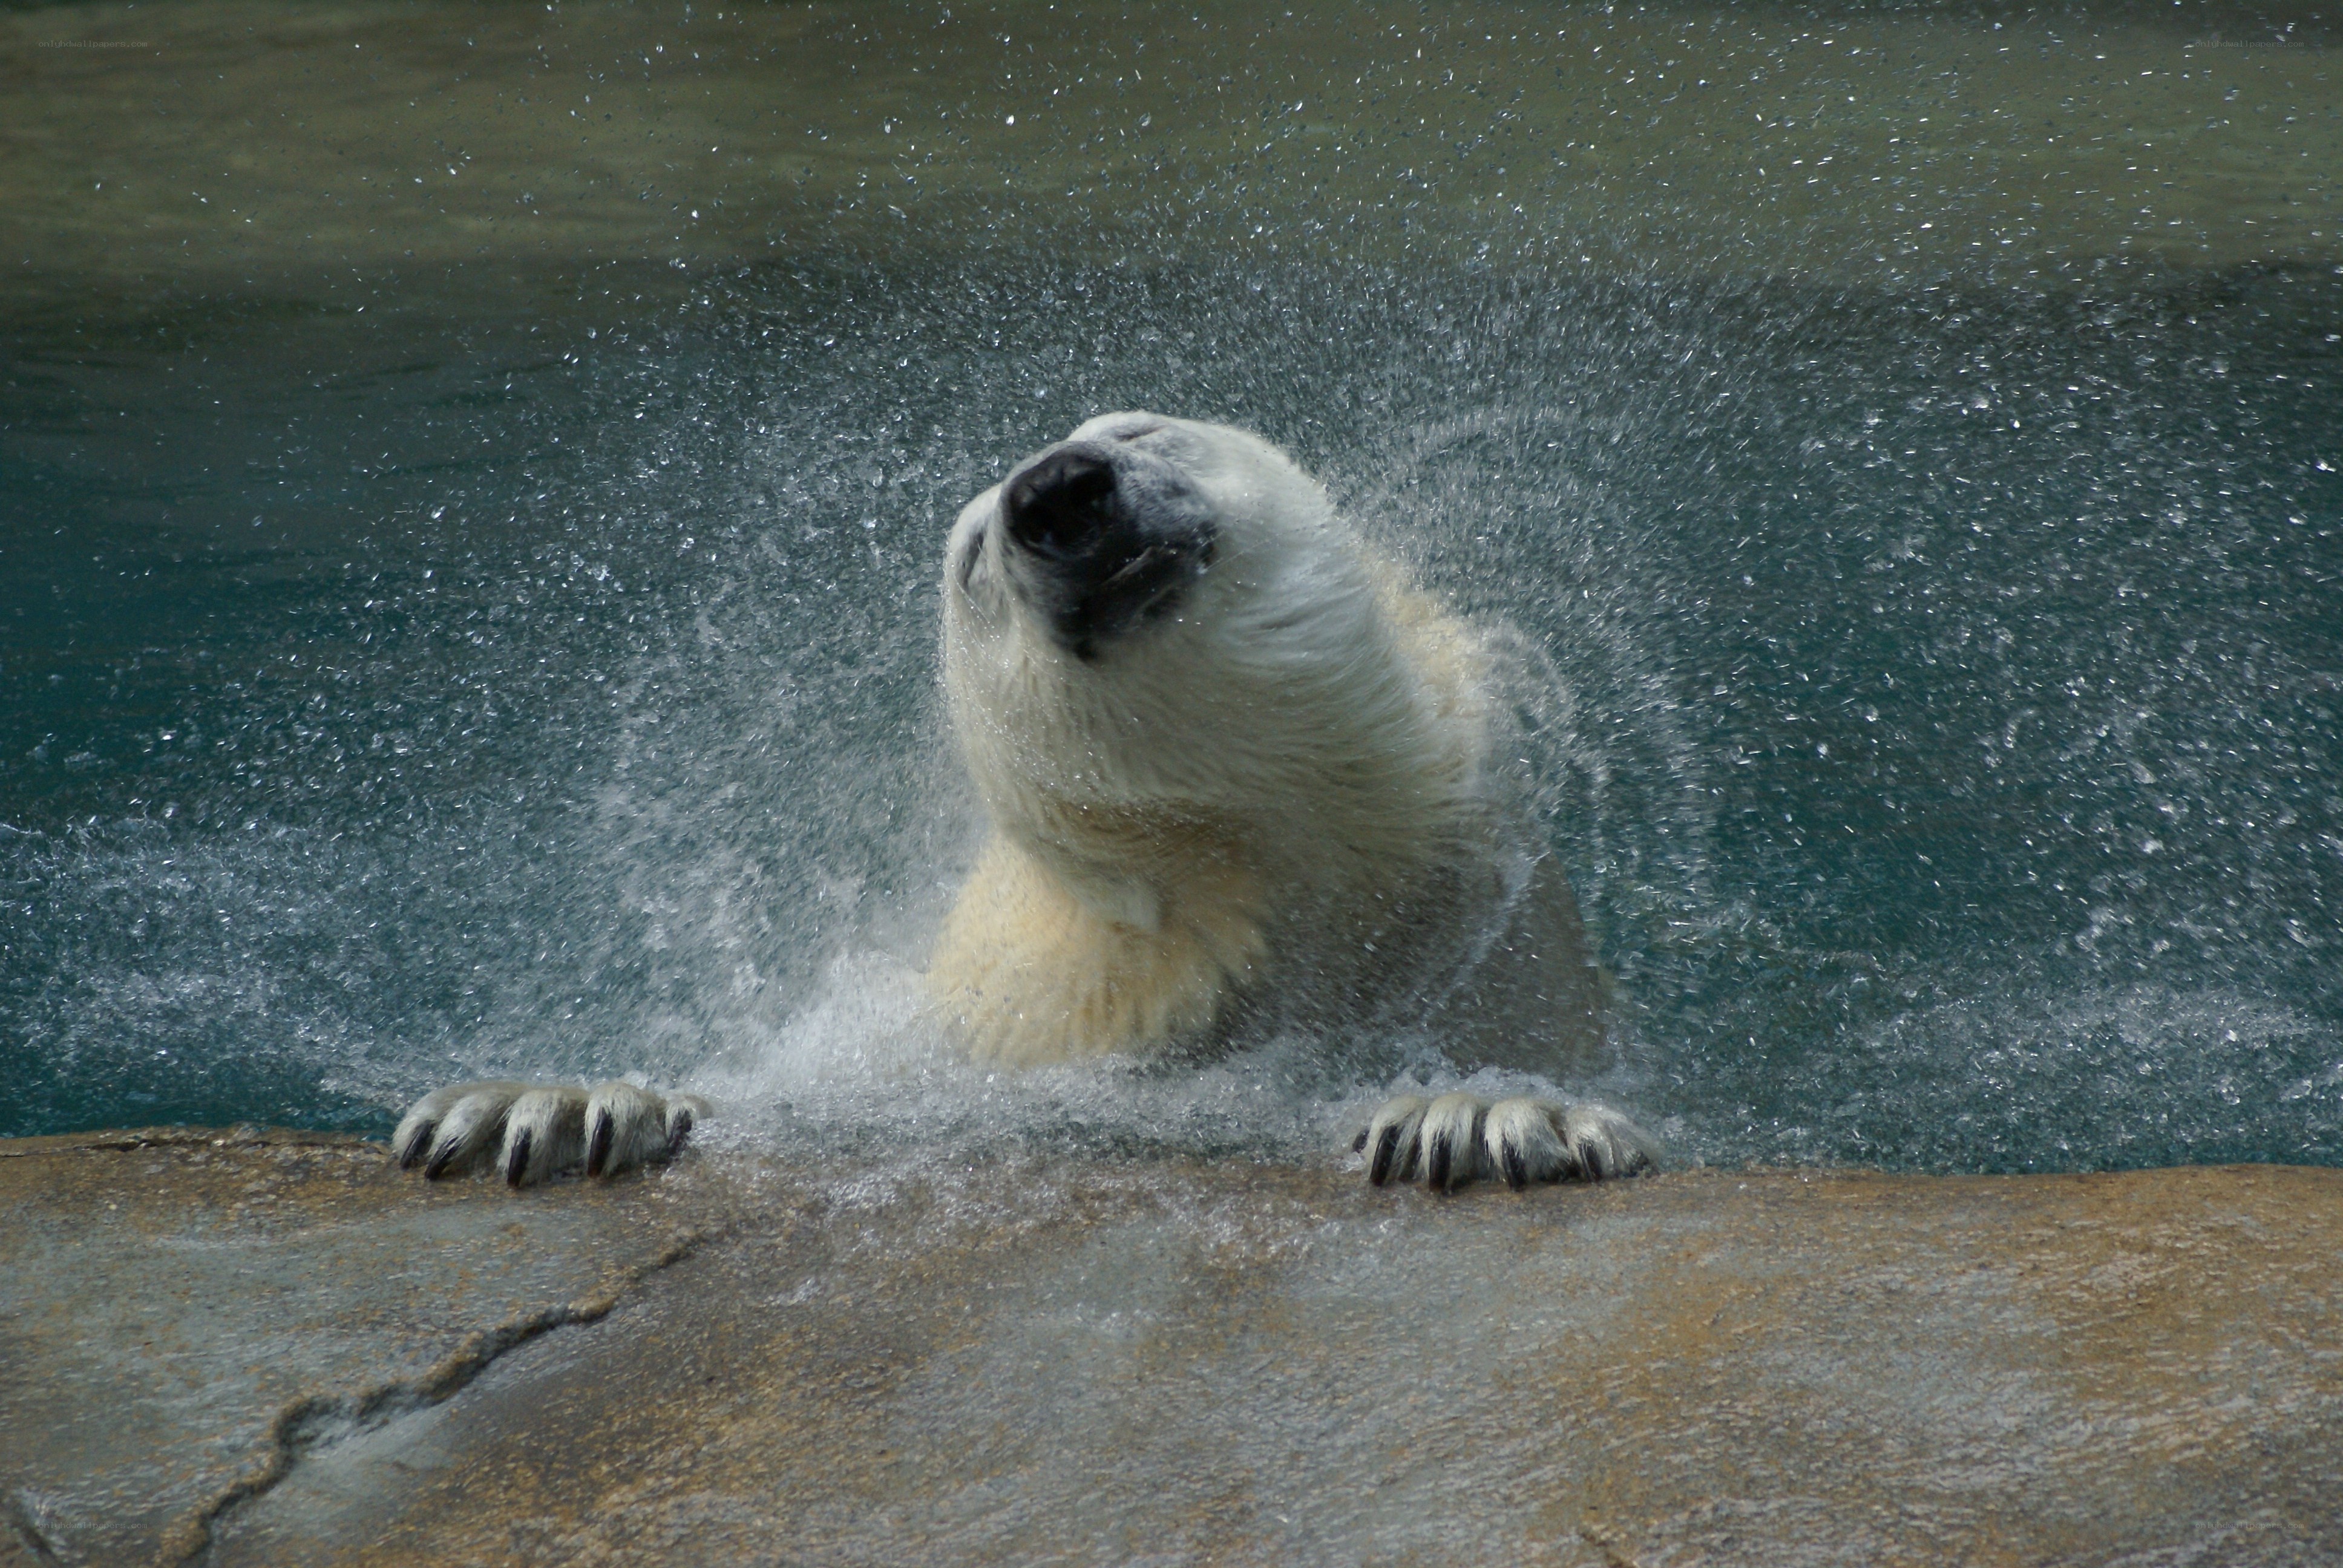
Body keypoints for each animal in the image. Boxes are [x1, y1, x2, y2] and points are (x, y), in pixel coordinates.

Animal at [392, 413, 1656, 1192]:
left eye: (1136, 432)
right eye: (971, 562)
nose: (1056, 488)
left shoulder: (1488, 949)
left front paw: (1483, 1116)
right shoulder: (1021, 1031)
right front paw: (542, 1106)